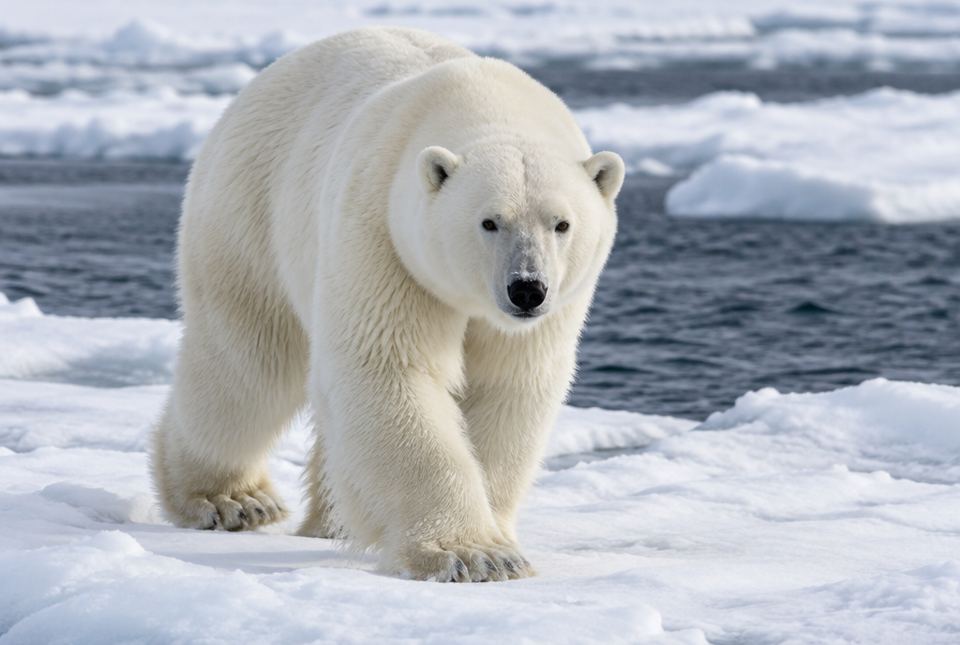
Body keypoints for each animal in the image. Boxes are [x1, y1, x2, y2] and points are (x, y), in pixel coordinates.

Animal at [151, 27, 624, 582]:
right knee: (249, 365)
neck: (484, 100)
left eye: (562, 223)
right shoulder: (384, 235)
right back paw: (231, 500)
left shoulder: (547, 312)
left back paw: (326, 520)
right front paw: (473, 555)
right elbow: (388, 368)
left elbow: (507, 386)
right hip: (249, 212)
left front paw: (496, 540)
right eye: (489, 221)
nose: (527, 289)